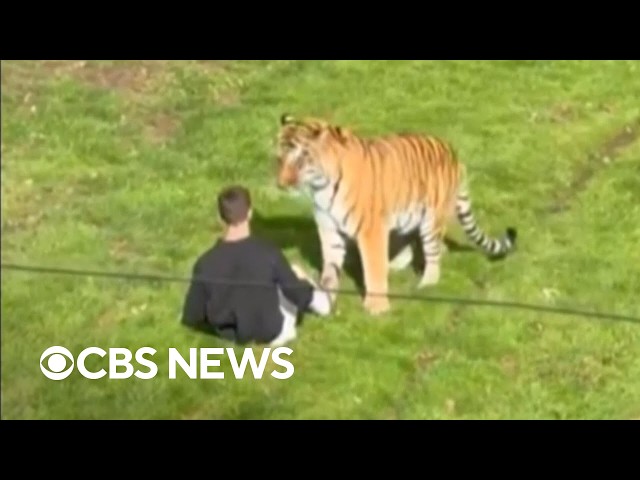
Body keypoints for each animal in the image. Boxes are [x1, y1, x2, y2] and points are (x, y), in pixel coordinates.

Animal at [275, 114, 517, 315]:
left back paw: (427, 283)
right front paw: (326, 298)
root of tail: (453, 153)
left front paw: (377, 308)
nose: (281, 184)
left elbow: (372, 268)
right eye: (278, 159)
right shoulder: (329, 230)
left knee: (434, 251)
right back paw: (394, 265)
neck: (321, 187)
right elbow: (330, 268)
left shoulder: (370, 230)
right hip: (407, 216)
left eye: (299, 160)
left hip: (431, 220)